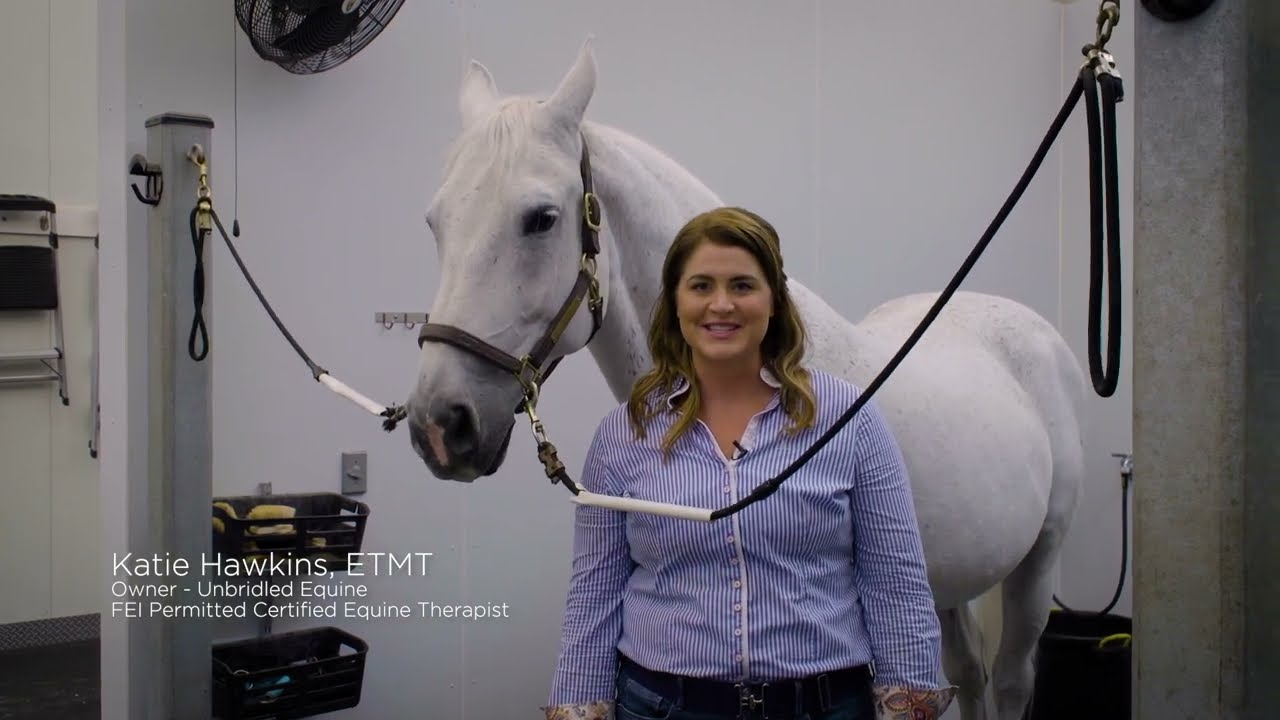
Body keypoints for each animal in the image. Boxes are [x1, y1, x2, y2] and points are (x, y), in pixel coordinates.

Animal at [402, 39, 1087, 720]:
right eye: (434, 223)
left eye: (541, 218)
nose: (440, 424)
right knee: (969, 672)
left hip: (1040, 560)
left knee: (1010, 678)